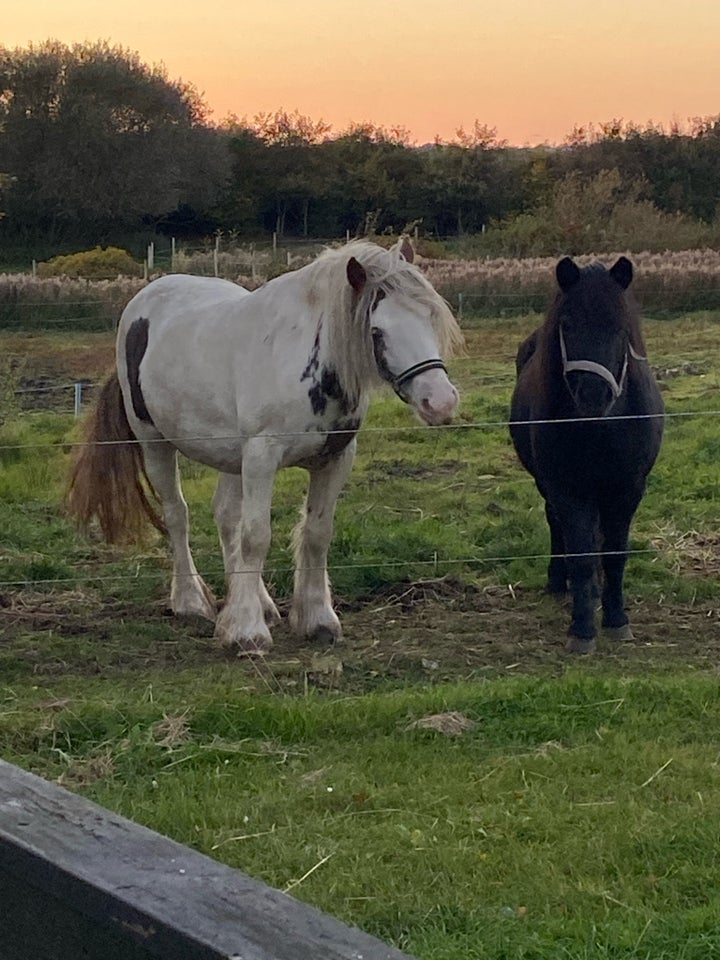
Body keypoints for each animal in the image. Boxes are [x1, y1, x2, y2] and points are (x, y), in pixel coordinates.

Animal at [67, 238, 462, 652]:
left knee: (226, 517)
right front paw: (246, 631)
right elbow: (256, 536)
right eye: (377, 331)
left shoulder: (335, 458)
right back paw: (191, 603)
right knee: (177, 515)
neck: (307, 362)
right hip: (155, 442)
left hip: (230, 457)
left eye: (430, 317)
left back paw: (258, 602)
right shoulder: (261, 456)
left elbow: (316, 534)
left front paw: (316, 620)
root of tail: (145, 299)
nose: (440, 402)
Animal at [510, 255, 668, 652]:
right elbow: (580, 554)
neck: (600, 426)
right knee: (557, 524)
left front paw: (616, 620)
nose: (594, 395)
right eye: (567, 325)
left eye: (620, 326)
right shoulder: (568, 489)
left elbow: (614, 554)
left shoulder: (627, 488)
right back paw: (560, 582)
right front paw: (581, 629)